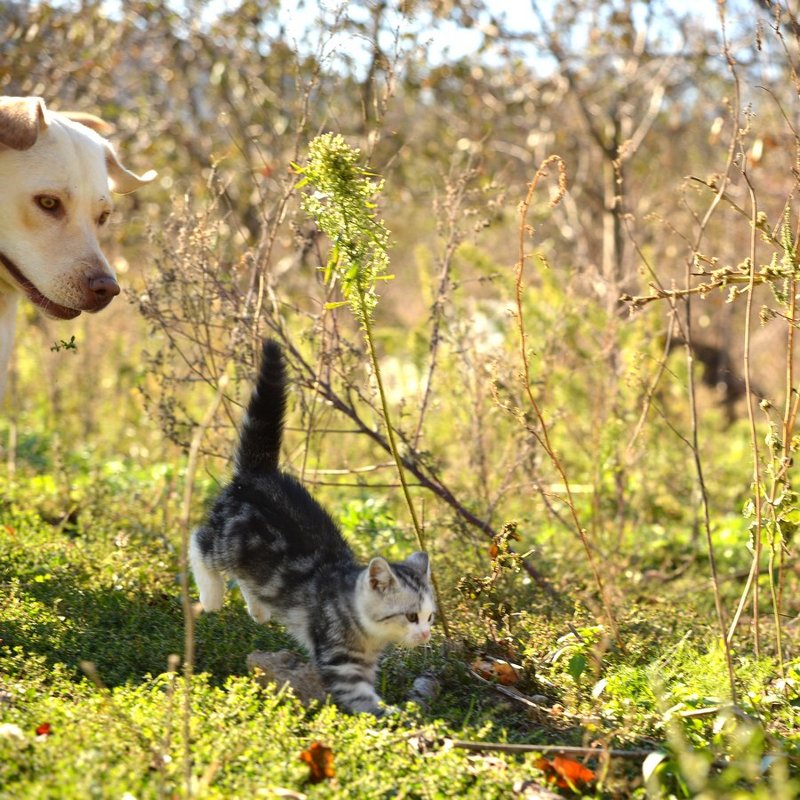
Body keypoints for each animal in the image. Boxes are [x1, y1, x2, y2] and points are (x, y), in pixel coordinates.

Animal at [190, 340, 434, 716]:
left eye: (430, 618)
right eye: (410, 617)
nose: (425, 636)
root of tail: (257, 475)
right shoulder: (340, 661)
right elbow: (361, 699)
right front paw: (396, 717)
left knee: (251, 579)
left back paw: (259, 609)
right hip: (227, 541)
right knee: (198, 543)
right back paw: (212, 596)